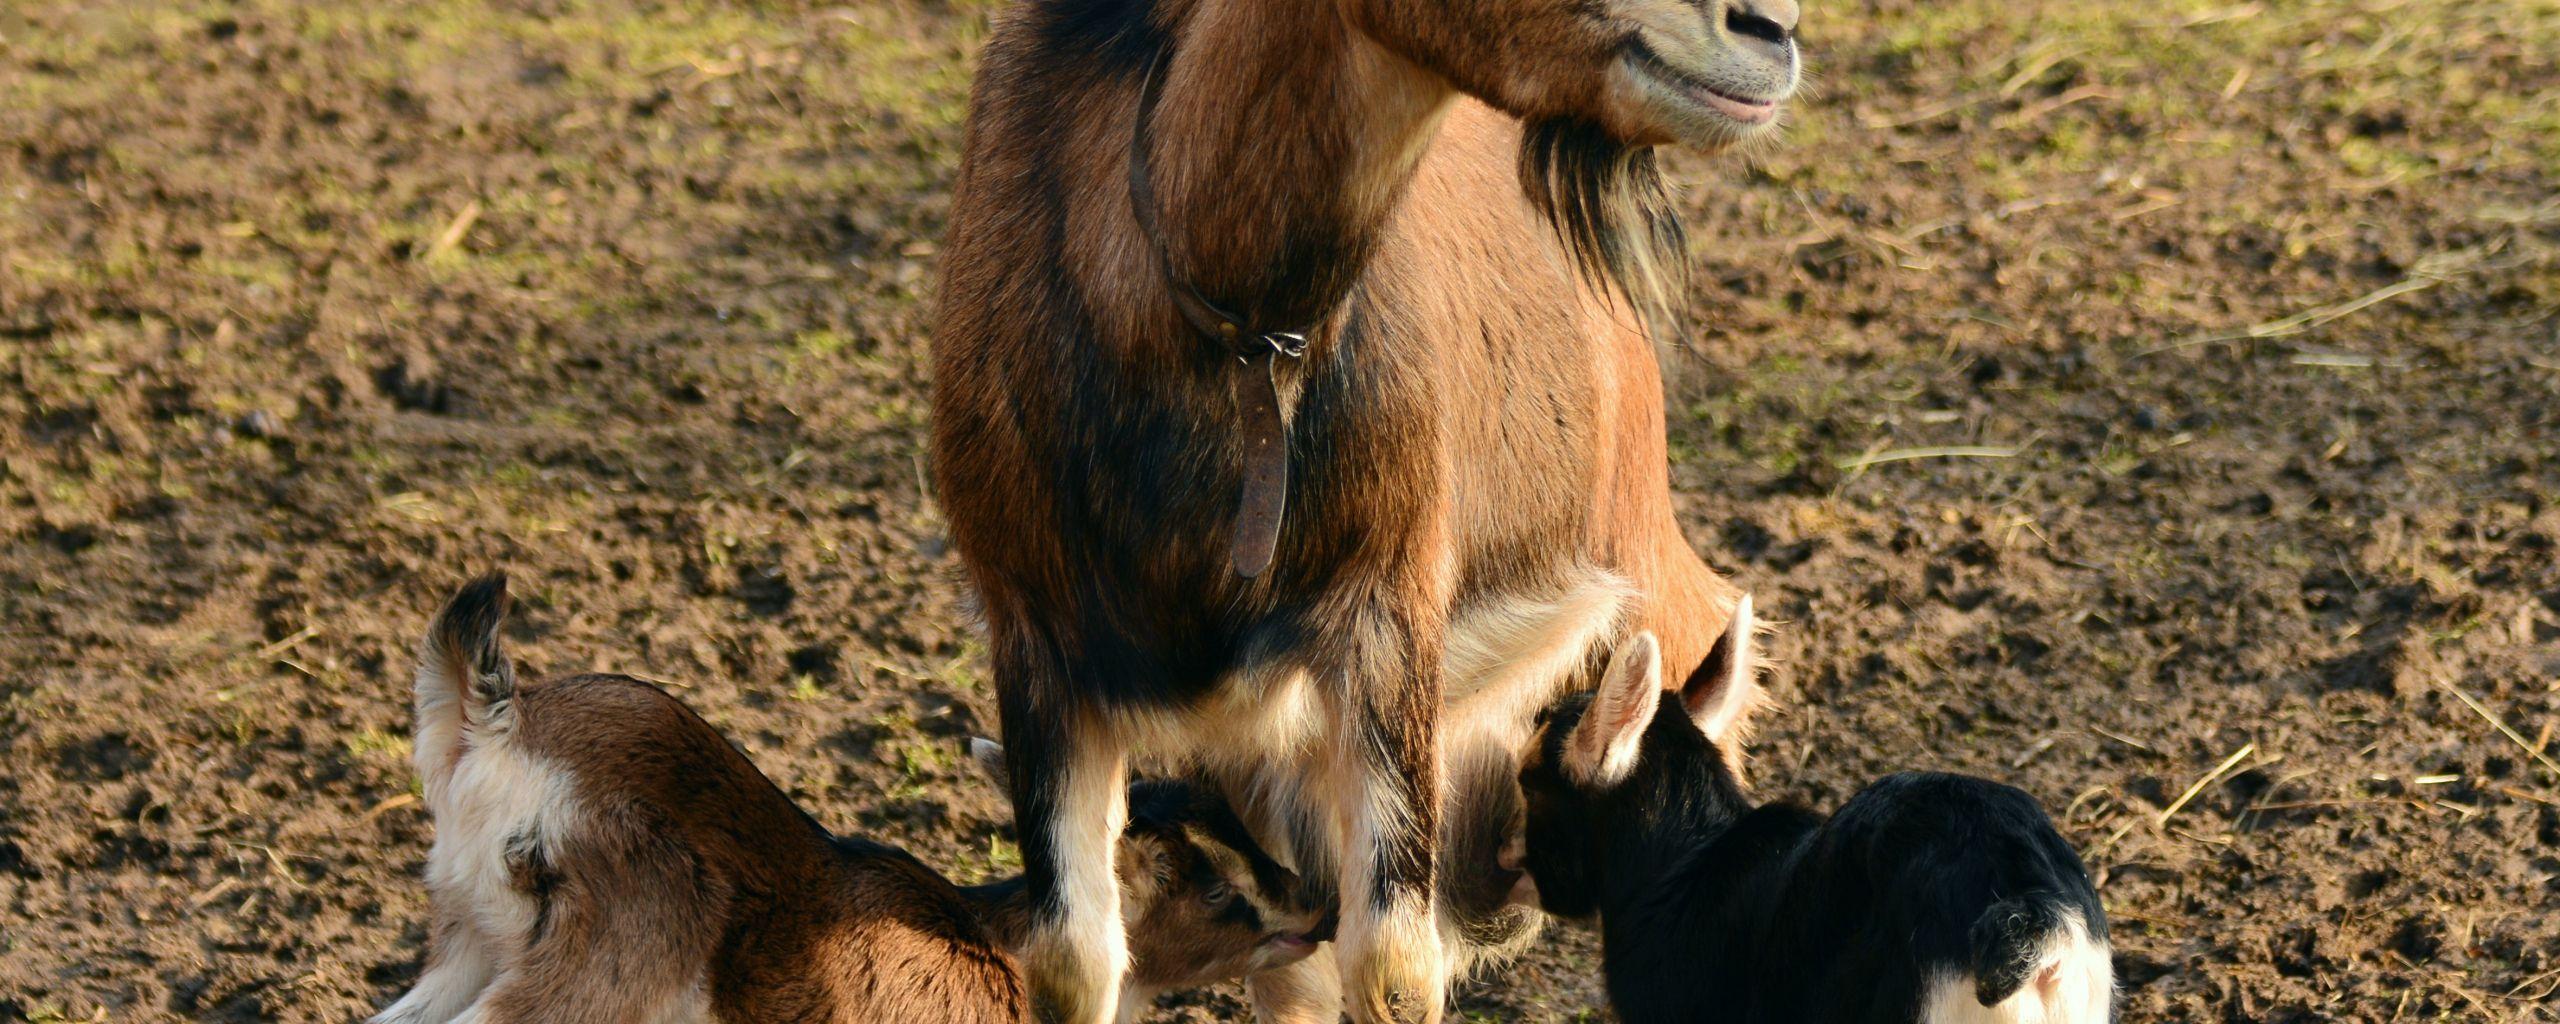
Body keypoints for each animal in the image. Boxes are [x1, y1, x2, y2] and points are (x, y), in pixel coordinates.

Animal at [370, 574, 1331, 1024]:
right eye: (1214, 888)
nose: (1316, 909)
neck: (1004, 952)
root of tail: (498, 726)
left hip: (472, 937)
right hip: (612, 955)